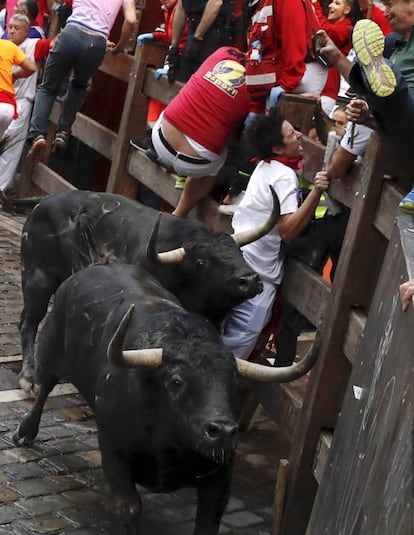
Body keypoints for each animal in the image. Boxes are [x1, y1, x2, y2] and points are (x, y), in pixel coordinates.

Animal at [14, 264, 320, 535]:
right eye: (176, 381)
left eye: (235, 384)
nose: (222, 432)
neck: (170, 444)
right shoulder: (114, 455)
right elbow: (131, 508)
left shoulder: (220, 480)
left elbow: (208, 522)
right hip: (51, 349)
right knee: (44, 387)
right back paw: (25, 431)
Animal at [17, 188, 280, 394]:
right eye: (202, 262)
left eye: (240, 252)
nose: (249, 280)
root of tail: (43, 203)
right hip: (38, 278)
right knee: (29, 322)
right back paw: (29, 377)